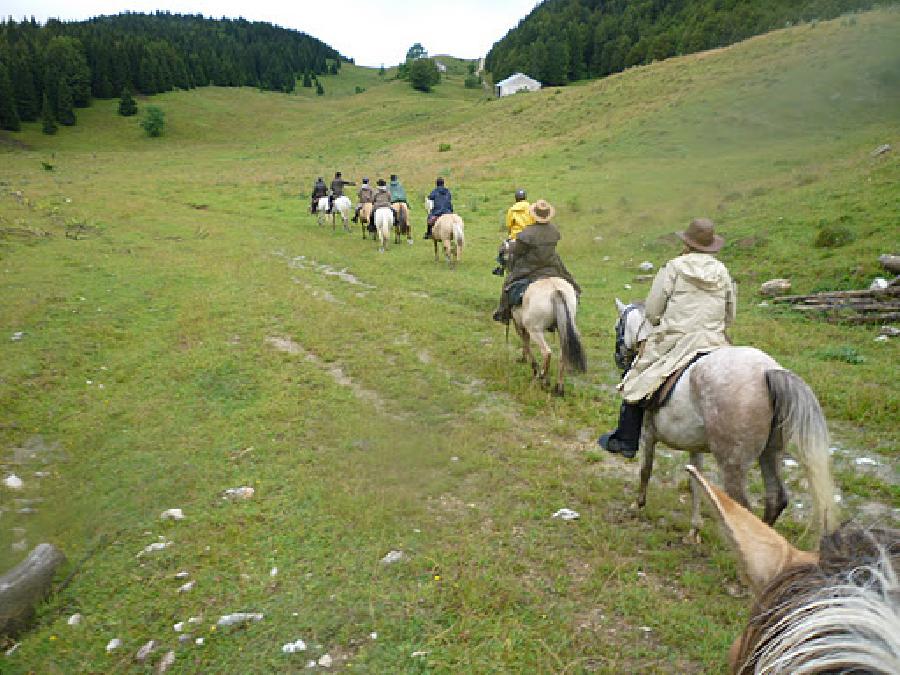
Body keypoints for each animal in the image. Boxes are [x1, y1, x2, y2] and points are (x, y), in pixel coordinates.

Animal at [612, 302, 836, 544]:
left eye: (617, 327)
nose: (619, 358)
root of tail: (767, 371)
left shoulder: (648, 434)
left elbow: (646, 469)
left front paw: (638, 505)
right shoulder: (693, 447)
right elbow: (696, 483)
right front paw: (694, 530)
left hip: (733, 464)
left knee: (745, 508)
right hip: (771, 452)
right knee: (776, 498)